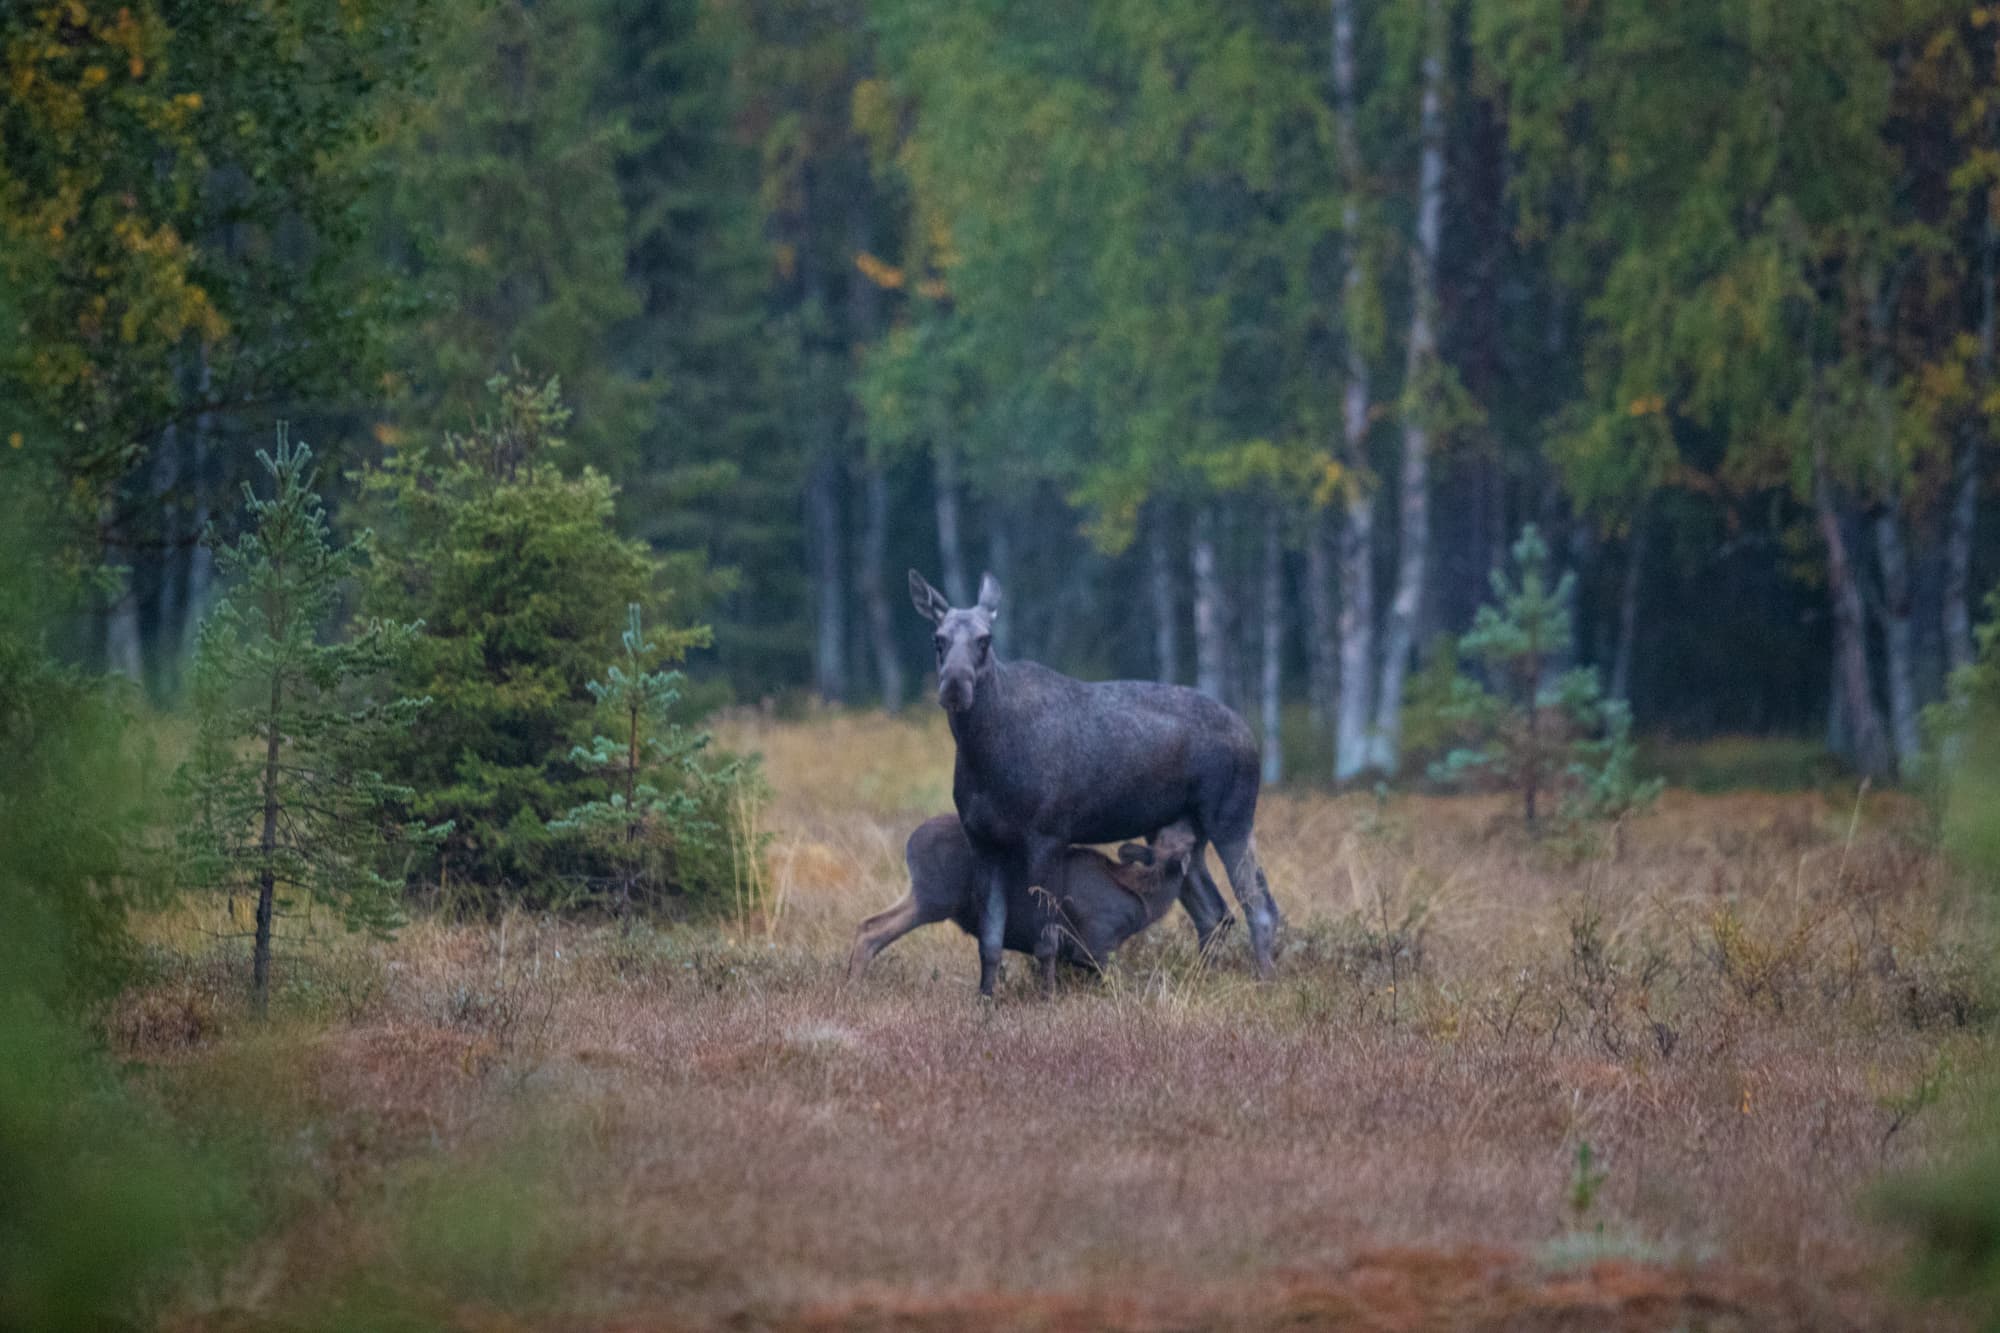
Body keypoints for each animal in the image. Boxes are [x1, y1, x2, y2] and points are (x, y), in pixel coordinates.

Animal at [848, 808, 1200, 984]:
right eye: (1183, 841)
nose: (1189, 822)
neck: (1142, 899)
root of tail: (910, 839)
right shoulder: (1096, 941)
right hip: (935, 895)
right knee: (875, 929)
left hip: (922, 893)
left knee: (868, 924)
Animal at [908, 564, 1280, 992]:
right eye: (938, 639)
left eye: (985, 639)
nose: (955, 685)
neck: (985, 758)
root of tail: (1249, 735)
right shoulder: (984, 841)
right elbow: (989, 941)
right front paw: (986, 999)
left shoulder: (1048, 835)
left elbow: (1046, 939)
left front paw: (1048, 996)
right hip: (1175, 830)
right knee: (1215, 912)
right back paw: (1203, 980)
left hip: (1231, 816)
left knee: (1261, 907)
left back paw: (1266, 983)